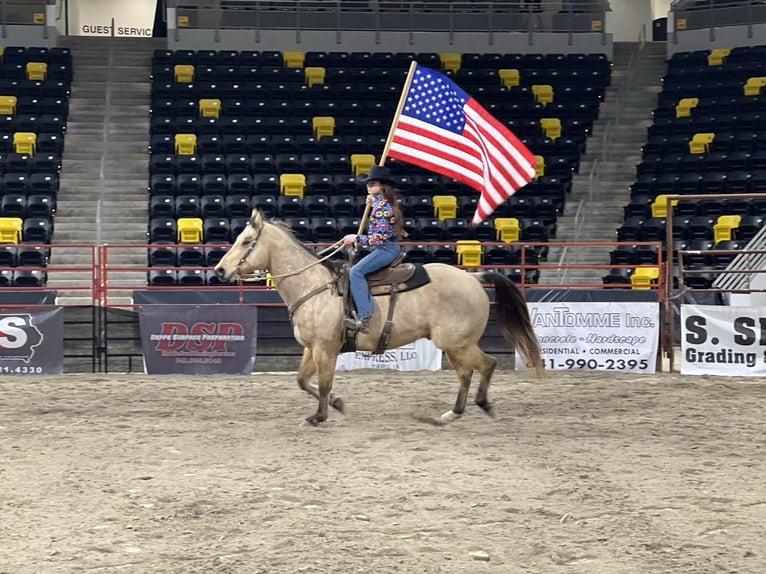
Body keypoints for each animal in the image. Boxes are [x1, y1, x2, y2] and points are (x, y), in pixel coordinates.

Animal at [213, 212, 544, 428]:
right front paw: (337, 403)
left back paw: (483, 405)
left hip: (457, 342)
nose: (219, 270)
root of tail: (474, 277)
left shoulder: (325, 348)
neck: (314, 285)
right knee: (466, 373)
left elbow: (323, 383)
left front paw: (320, 415)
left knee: (487, 364)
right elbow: (303, 381)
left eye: (246, 241)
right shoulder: (311, 348)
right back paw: (452, 414)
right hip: (454, 345)